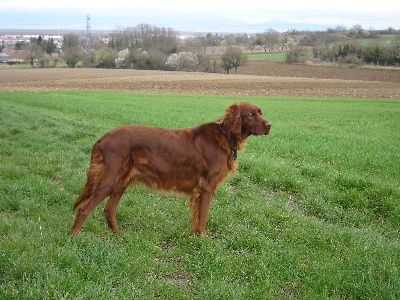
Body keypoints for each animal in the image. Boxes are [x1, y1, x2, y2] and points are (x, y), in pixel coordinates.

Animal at [72, 102, 272, 236]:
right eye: (250, 114)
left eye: (260, 112)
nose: (270, 125)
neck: (225, 136)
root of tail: (102, 139)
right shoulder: (206, 187)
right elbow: (203, 215)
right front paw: (202, 236)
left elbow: (197, 215)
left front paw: (195, 234)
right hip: (110, 178)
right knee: (84, 209)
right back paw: (75, 236)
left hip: (122, 181)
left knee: (109, 209)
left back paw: (117, 232)